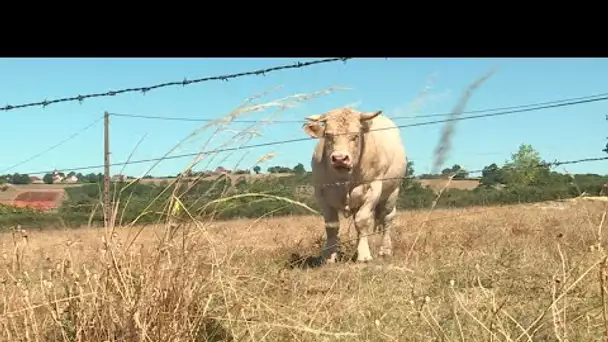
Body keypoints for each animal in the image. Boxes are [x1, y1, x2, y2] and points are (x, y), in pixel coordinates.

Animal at [302, 108, 406, 264]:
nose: (340, 158)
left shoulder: (373, 188)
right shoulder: (320, 191)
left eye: (355, 136)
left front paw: (364, 255)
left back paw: (385, 250)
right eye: (328, 135)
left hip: (392, 193)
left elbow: (362, 221)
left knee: (386, 219)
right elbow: (332, 225)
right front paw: (329, 256)